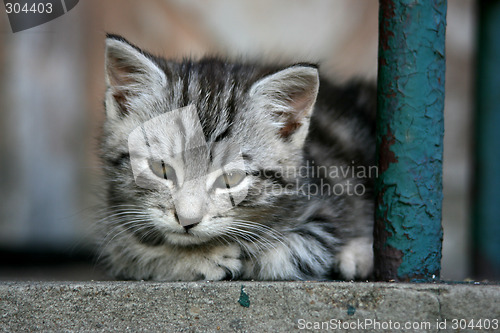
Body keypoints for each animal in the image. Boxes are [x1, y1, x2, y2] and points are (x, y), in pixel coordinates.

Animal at [98, 34, 376, 280]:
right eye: (161, 168)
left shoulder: (325, 217)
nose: (187, 220)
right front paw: (195, 257)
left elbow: (284, 255)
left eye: (231, 178)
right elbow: (133, 252)